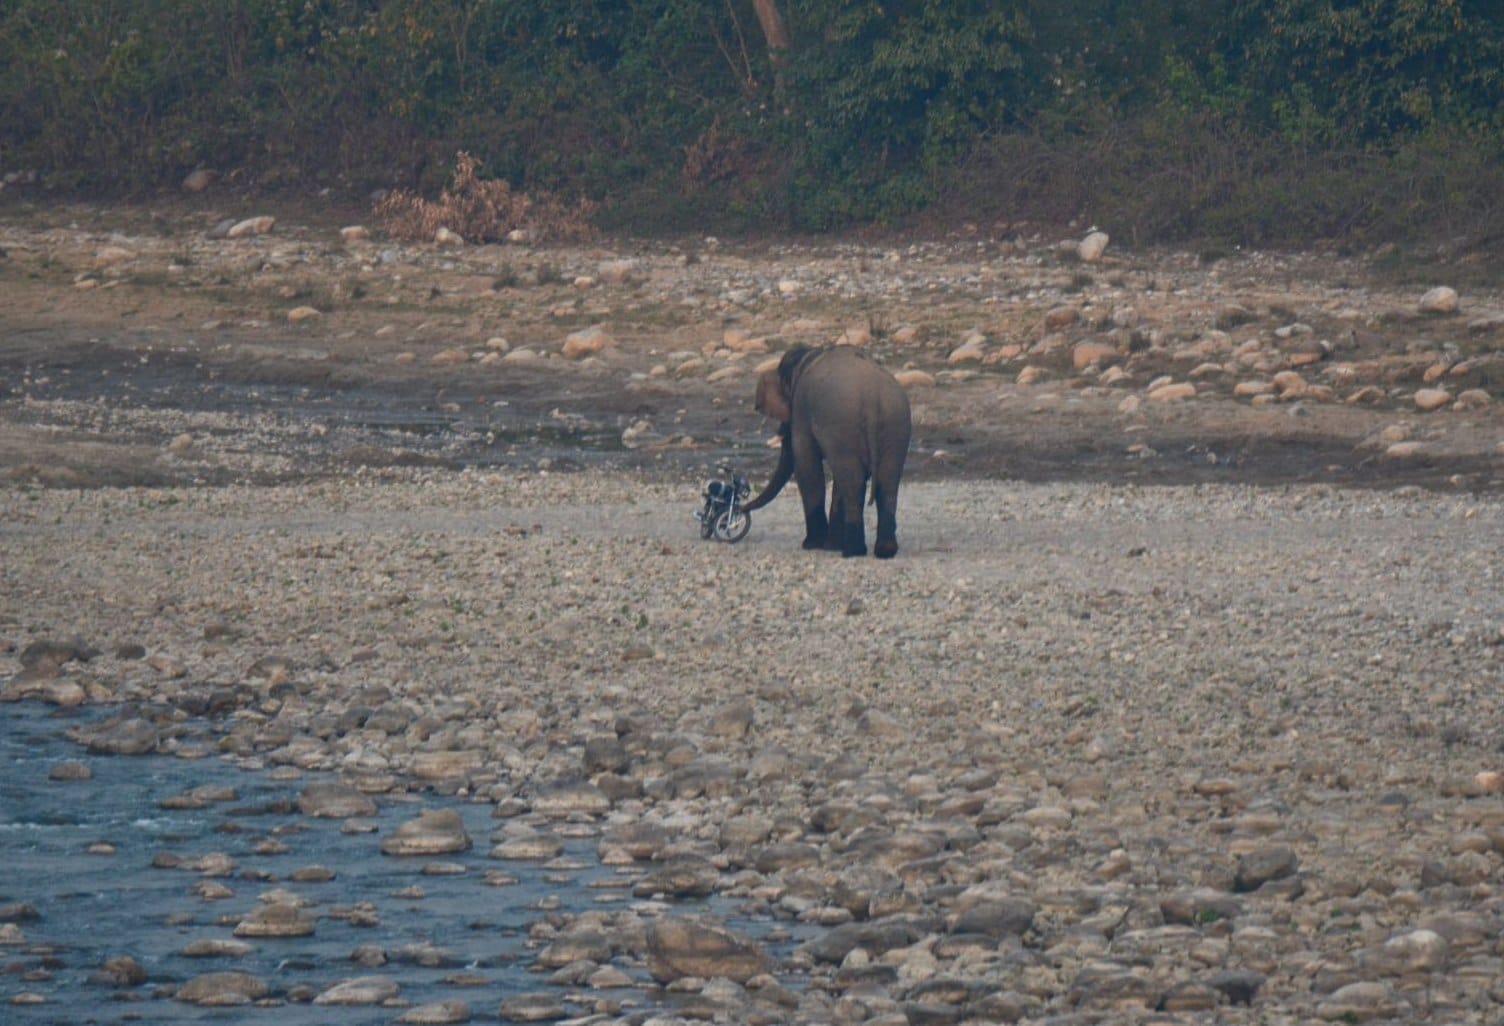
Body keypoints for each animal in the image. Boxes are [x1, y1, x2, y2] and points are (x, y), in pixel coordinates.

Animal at [741, 345, 911, 558]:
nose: (742, 509)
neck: (811, 354)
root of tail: (873, 398)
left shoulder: (802, 410)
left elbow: (805, 465)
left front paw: (812, 545)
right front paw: (830, 546)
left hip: (844, 423)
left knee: (854, 483)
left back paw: (852, 551)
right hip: (895, 425)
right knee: (886, 482)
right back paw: (884, 551)